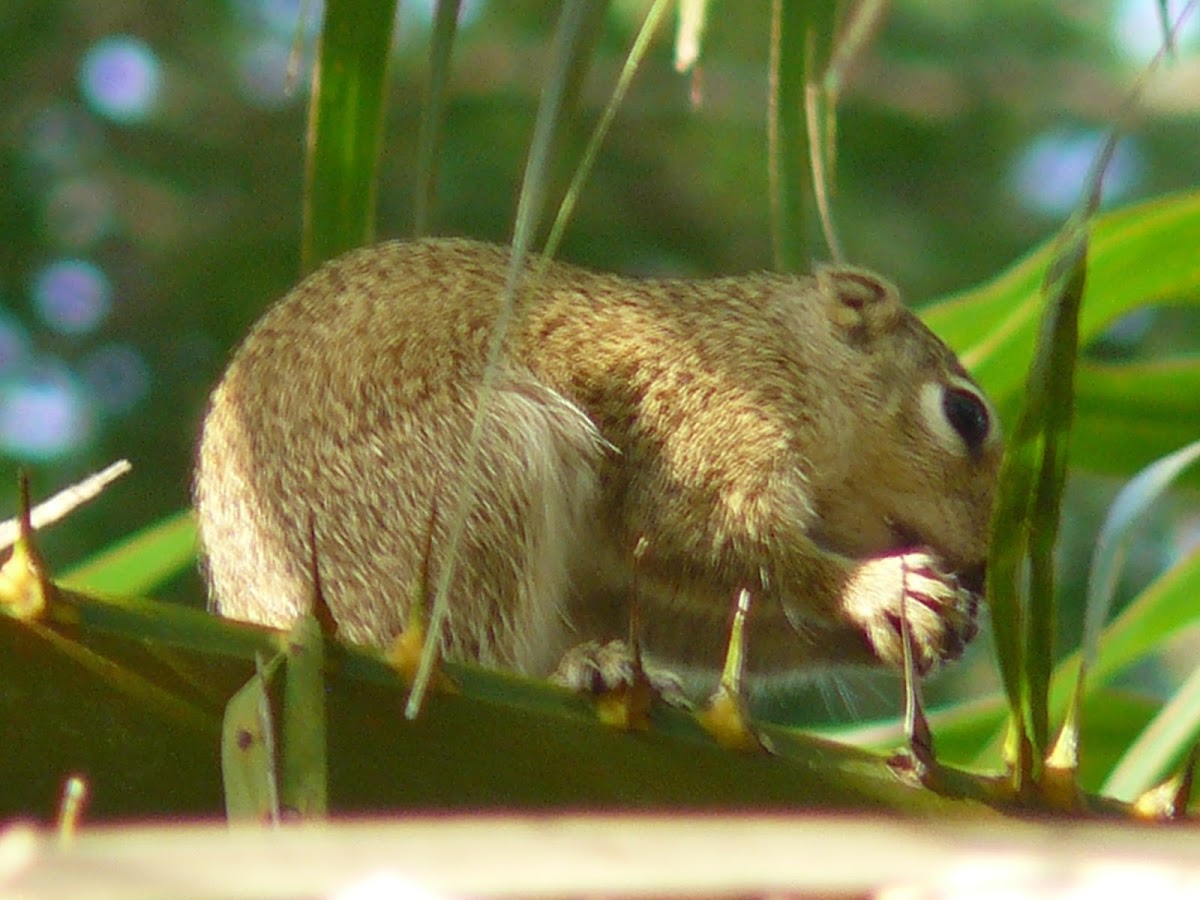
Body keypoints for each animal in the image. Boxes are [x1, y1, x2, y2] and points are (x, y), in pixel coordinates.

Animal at [194, 237, 1003, 691]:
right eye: (966, 415)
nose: (983, 570)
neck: (786, 356)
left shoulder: (615, 581)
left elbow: (705, 613)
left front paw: (931, 629)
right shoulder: (705, 414)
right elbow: (702, 534)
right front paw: (877, 591)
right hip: (466, 482)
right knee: (455, 644)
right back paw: (576, 670)